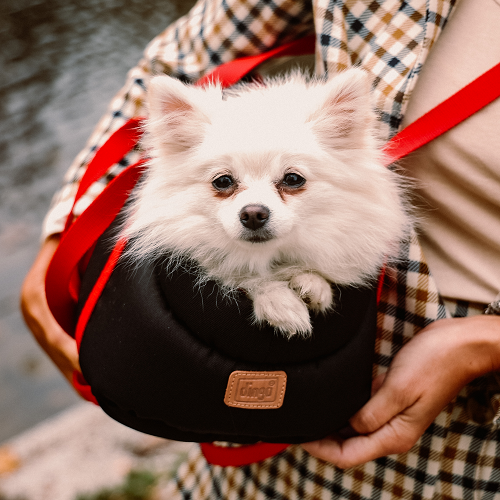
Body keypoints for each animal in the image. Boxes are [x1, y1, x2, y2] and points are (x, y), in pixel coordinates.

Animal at [123, 68, 408, 338]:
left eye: (293, 179)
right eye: (223, 181)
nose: (253, 213)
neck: (269, 256)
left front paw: (313, 283)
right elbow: (238, 273)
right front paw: (278, 299)